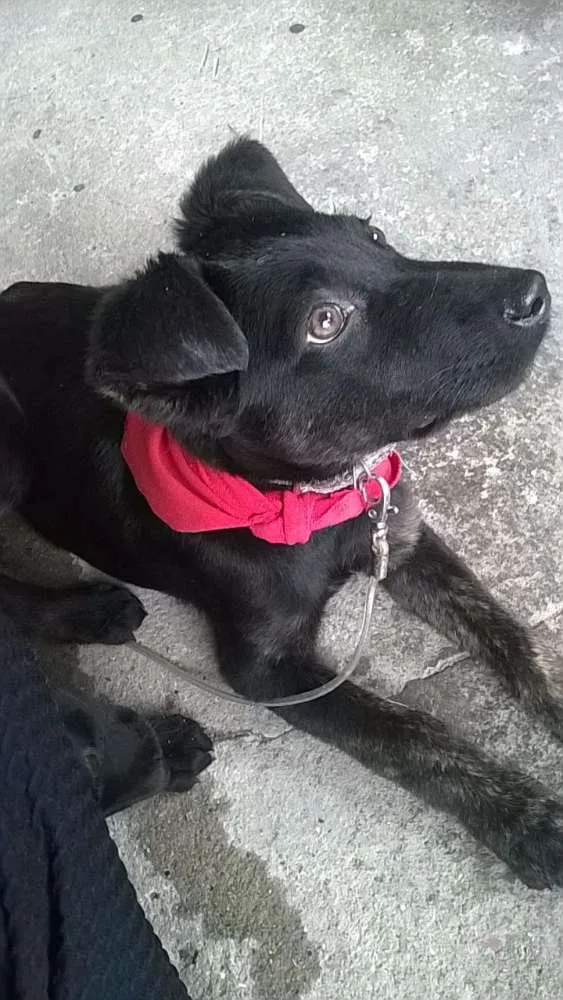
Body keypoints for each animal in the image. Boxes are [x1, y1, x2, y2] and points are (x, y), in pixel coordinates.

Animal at [0, 137, 561, 888]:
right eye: (326, 321)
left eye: (374, 238)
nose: (534, 293)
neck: (302, 501)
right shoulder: (265, 669)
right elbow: (408, 734)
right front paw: (526, 821)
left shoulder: (400, 536)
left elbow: (507, 634)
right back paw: (86, 610)